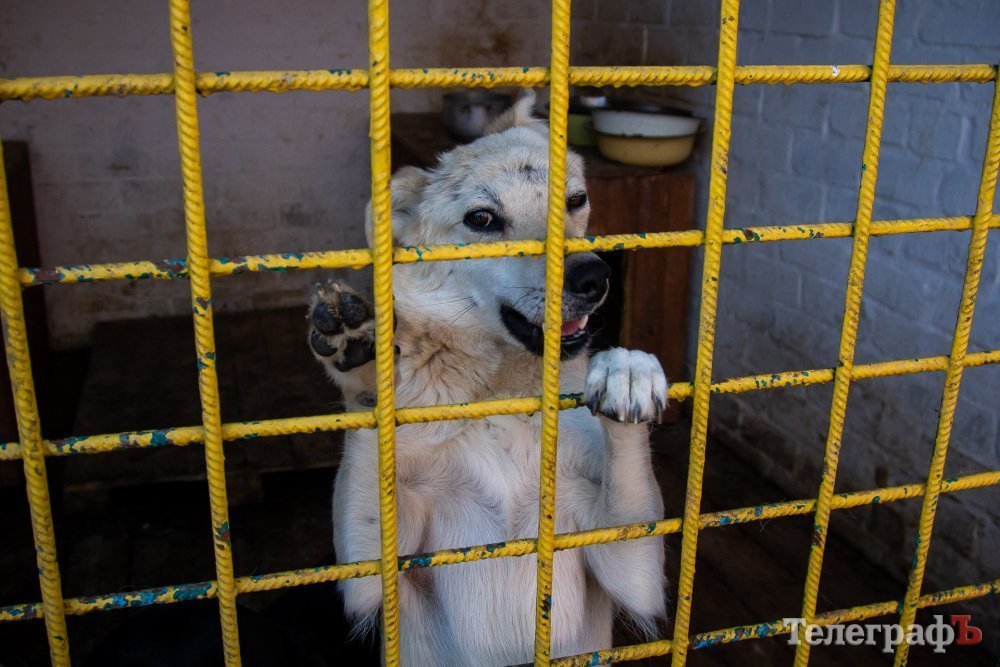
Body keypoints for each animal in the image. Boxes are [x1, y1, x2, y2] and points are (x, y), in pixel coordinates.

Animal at [307, 91, 667, 666]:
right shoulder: (371, 573)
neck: (500, 399)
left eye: (577, 200)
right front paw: (362, 359)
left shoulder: (631, 569)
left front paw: (626, 370)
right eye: (481, 218)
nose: (595, 277)